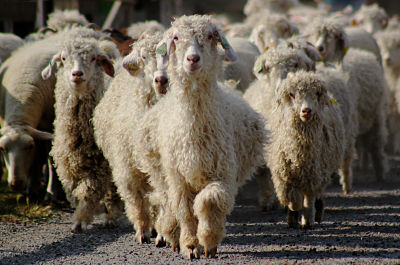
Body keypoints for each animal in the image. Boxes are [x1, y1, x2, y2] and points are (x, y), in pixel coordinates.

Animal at [40, 30, 122, 231]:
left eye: (93, 58)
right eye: (63, 58)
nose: (77, 74)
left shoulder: (101, 165)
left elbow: (89, 191)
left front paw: (82, 219)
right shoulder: (69, 162)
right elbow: (75, 191)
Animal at [93, 31, 170, 243]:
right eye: (144, 57)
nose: (161, 80)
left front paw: (162, 233)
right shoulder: (127, 170)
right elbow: (137, 201)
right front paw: (143, 231)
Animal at [139, 13, 268, 256]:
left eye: (210, 36)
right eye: (176, 38)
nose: (192, 59)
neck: (195, 132)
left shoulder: (223, 174)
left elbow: (208, 202)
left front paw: (208, 241)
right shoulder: (177, 178)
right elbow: (185, 211)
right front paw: (189, 245)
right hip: (159, 173)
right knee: (167, 203)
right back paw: (171, 235)